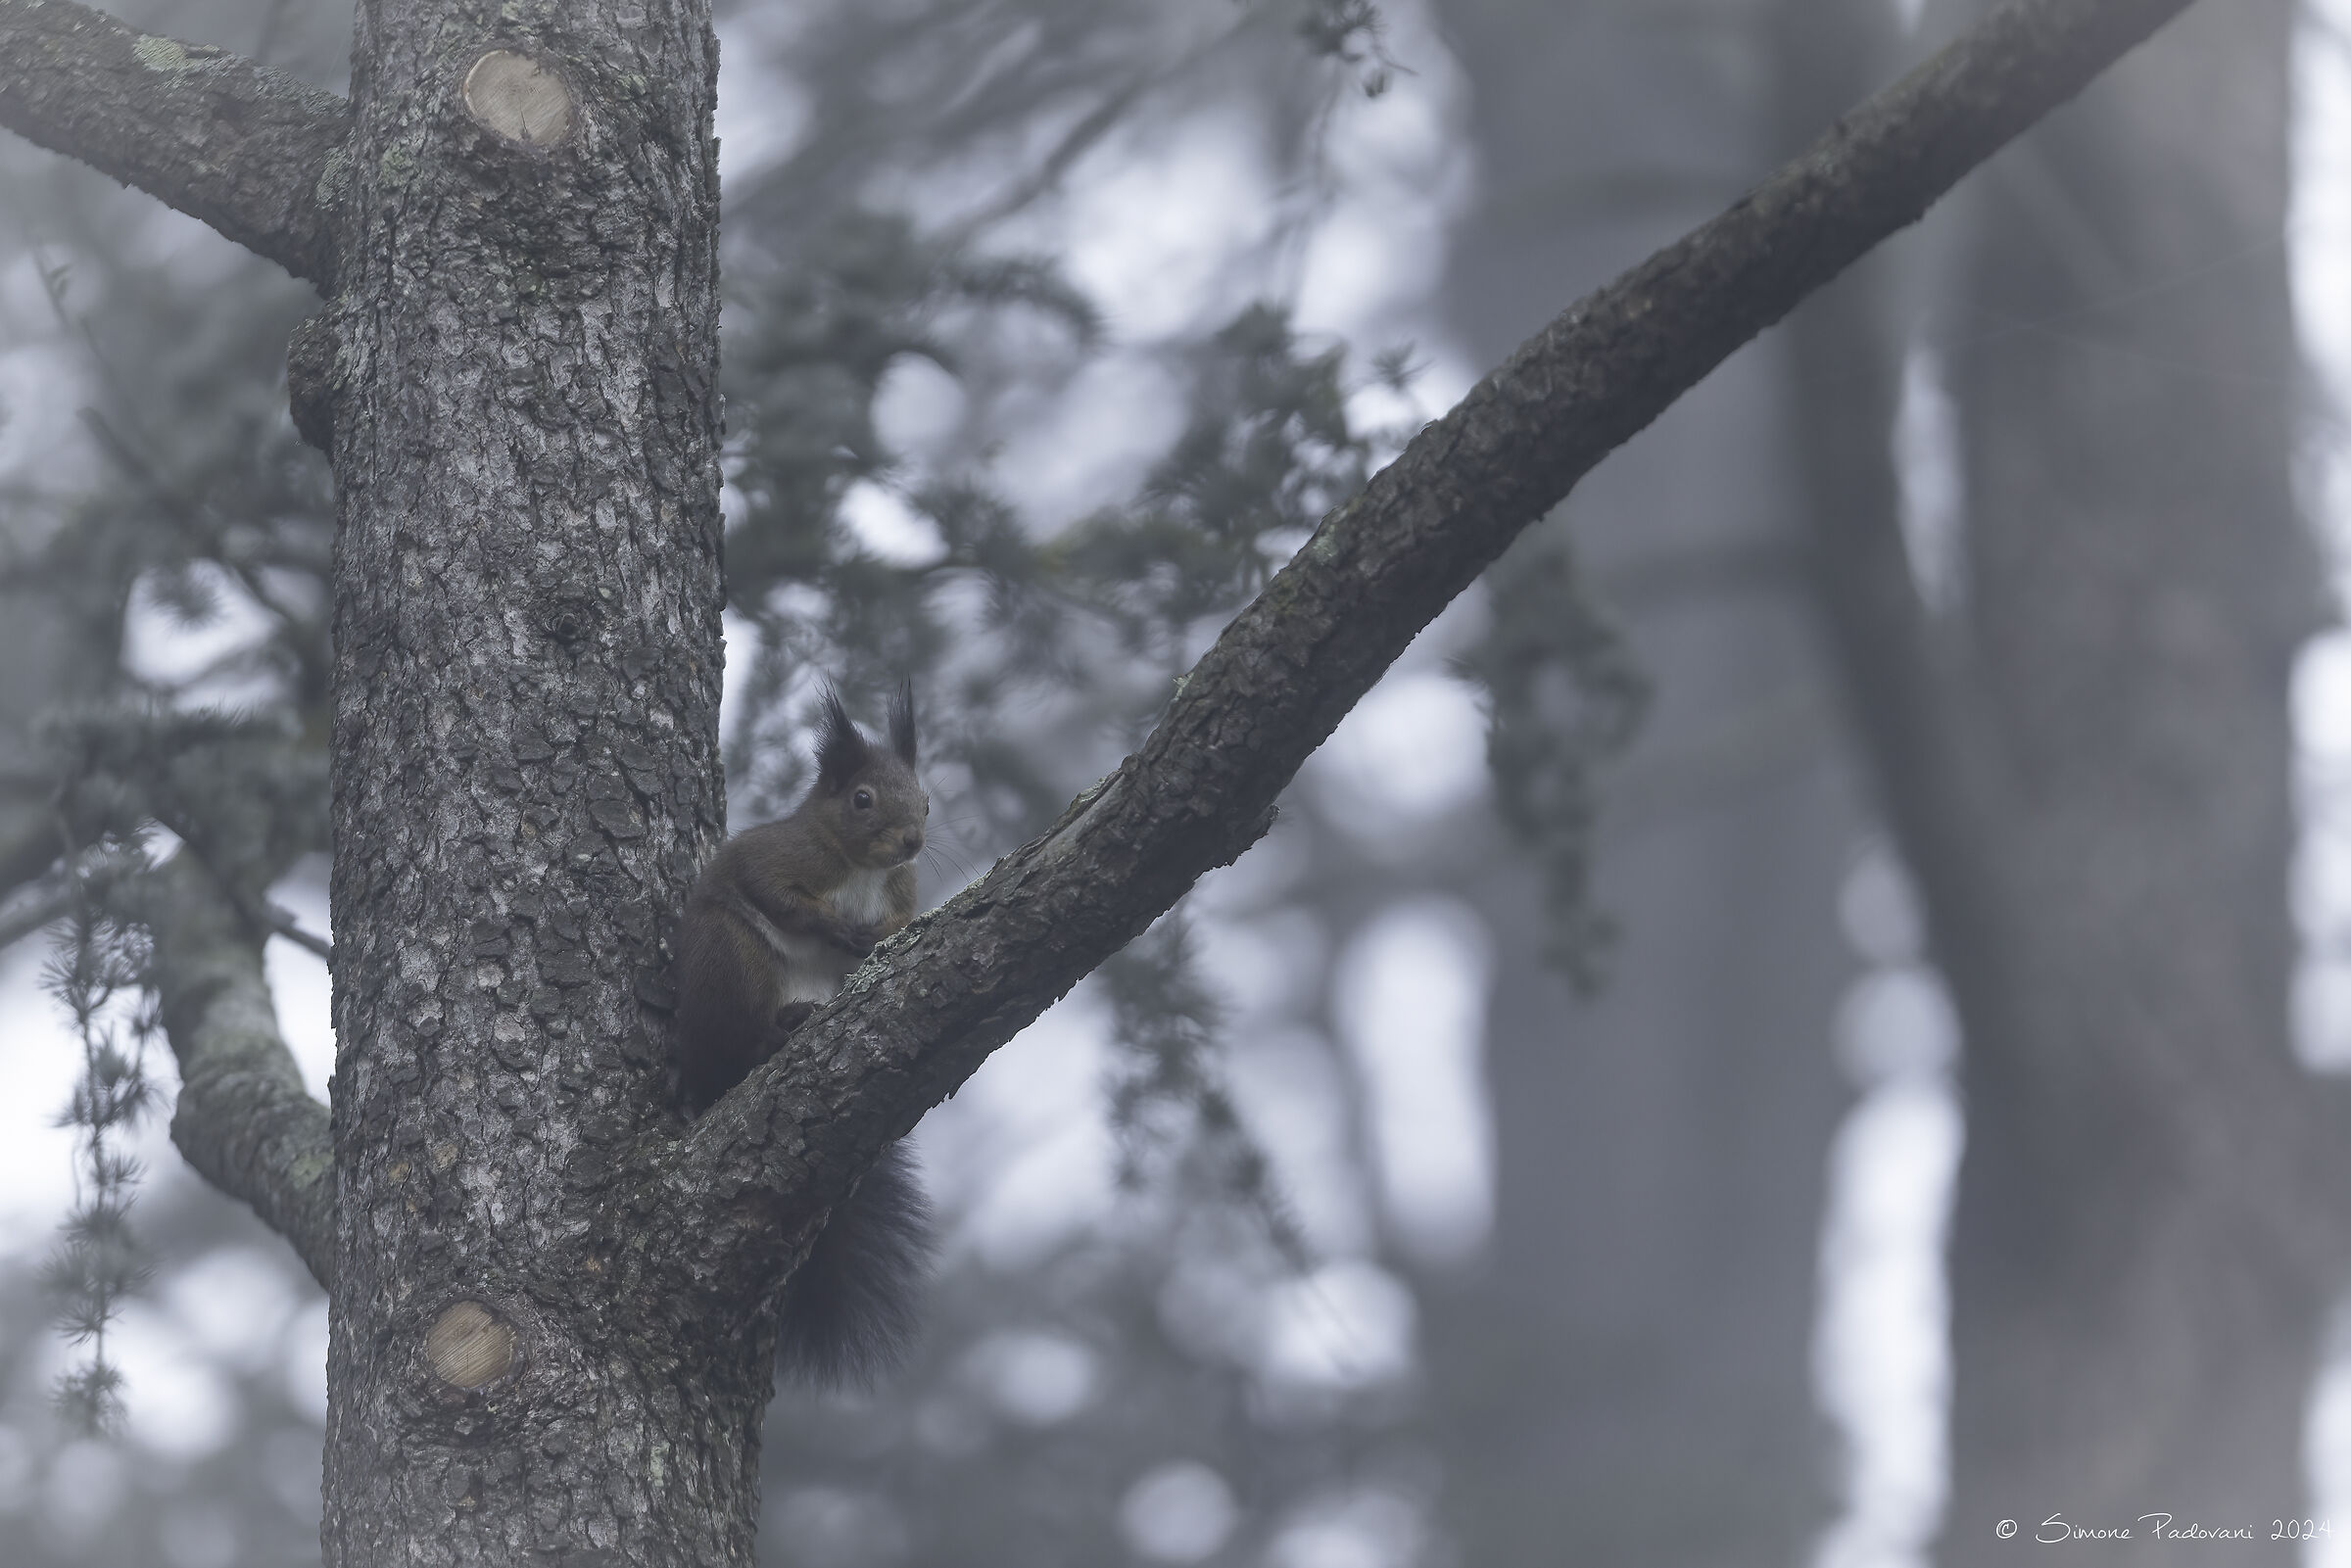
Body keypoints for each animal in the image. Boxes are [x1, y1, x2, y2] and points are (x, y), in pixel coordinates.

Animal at [674, 682, 934, 1386]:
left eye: (926, 797)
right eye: (862, 799)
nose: (912, 840)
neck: (860, 869)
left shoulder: (903, 889)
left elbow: (906, 918)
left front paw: (876, 934)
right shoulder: (780, 857)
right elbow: (777, 892)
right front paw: (833, 925)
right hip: (732, 960)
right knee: (741, 1035)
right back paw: (774, 1033)